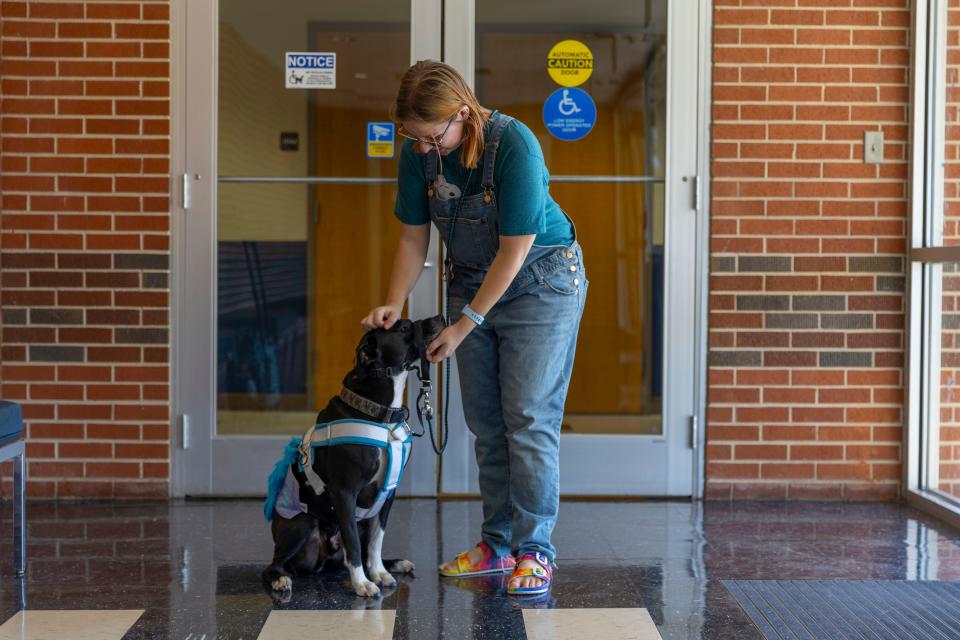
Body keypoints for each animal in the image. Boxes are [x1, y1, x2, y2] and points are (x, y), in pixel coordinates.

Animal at [260, 318, 444, 596]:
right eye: (402, 328)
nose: (440, 319)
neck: (381, 414)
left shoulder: (387, 493)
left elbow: (376, 540)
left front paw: (379, 572)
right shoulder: (344, 492)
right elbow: (354, 545)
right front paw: (362, 583)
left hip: (361, 519)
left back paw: (395, 564)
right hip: (302, 523)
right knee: (275, 564)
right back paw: (280, 579)